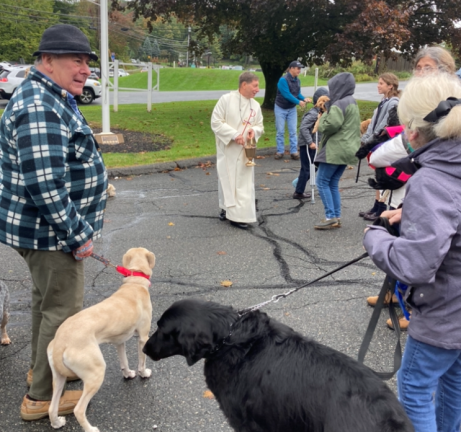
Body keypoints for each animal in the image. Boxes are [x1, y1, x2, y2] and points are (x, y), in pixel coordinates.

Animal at [47, 248, 155, 432]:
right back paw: (91, 429)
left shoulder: (119, 342)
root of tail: (61, 341)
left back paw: (56, 422)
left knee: (51, 407)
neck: (134, 282)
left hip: (59, 377)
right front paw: (143, 374)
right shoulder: (143, 337)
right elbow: (142, 362)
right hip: (96, 373)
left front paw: (128, 374)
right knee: (79, 410)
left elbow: (124, 362)